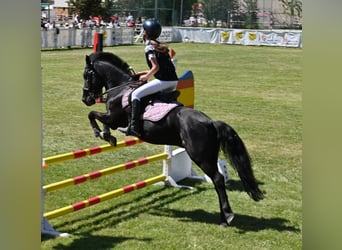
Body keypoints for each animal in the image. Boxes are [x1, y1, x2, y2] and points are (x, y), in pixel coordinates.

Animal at [81, 51, 264, 227]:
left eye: (86, 75)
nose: (86, 99)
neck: (121, 88)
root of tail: (211, 122)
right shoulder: (111, 119)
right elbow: (99, 120)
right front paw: (108, 136)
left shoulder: (113, 118)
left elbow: (92, 115)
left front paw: (100, 133)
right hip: (209, 155)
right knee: (217, 179)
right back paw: (223, 218)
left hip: (201, 157)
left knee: (218, 179)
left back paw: (227, 216)